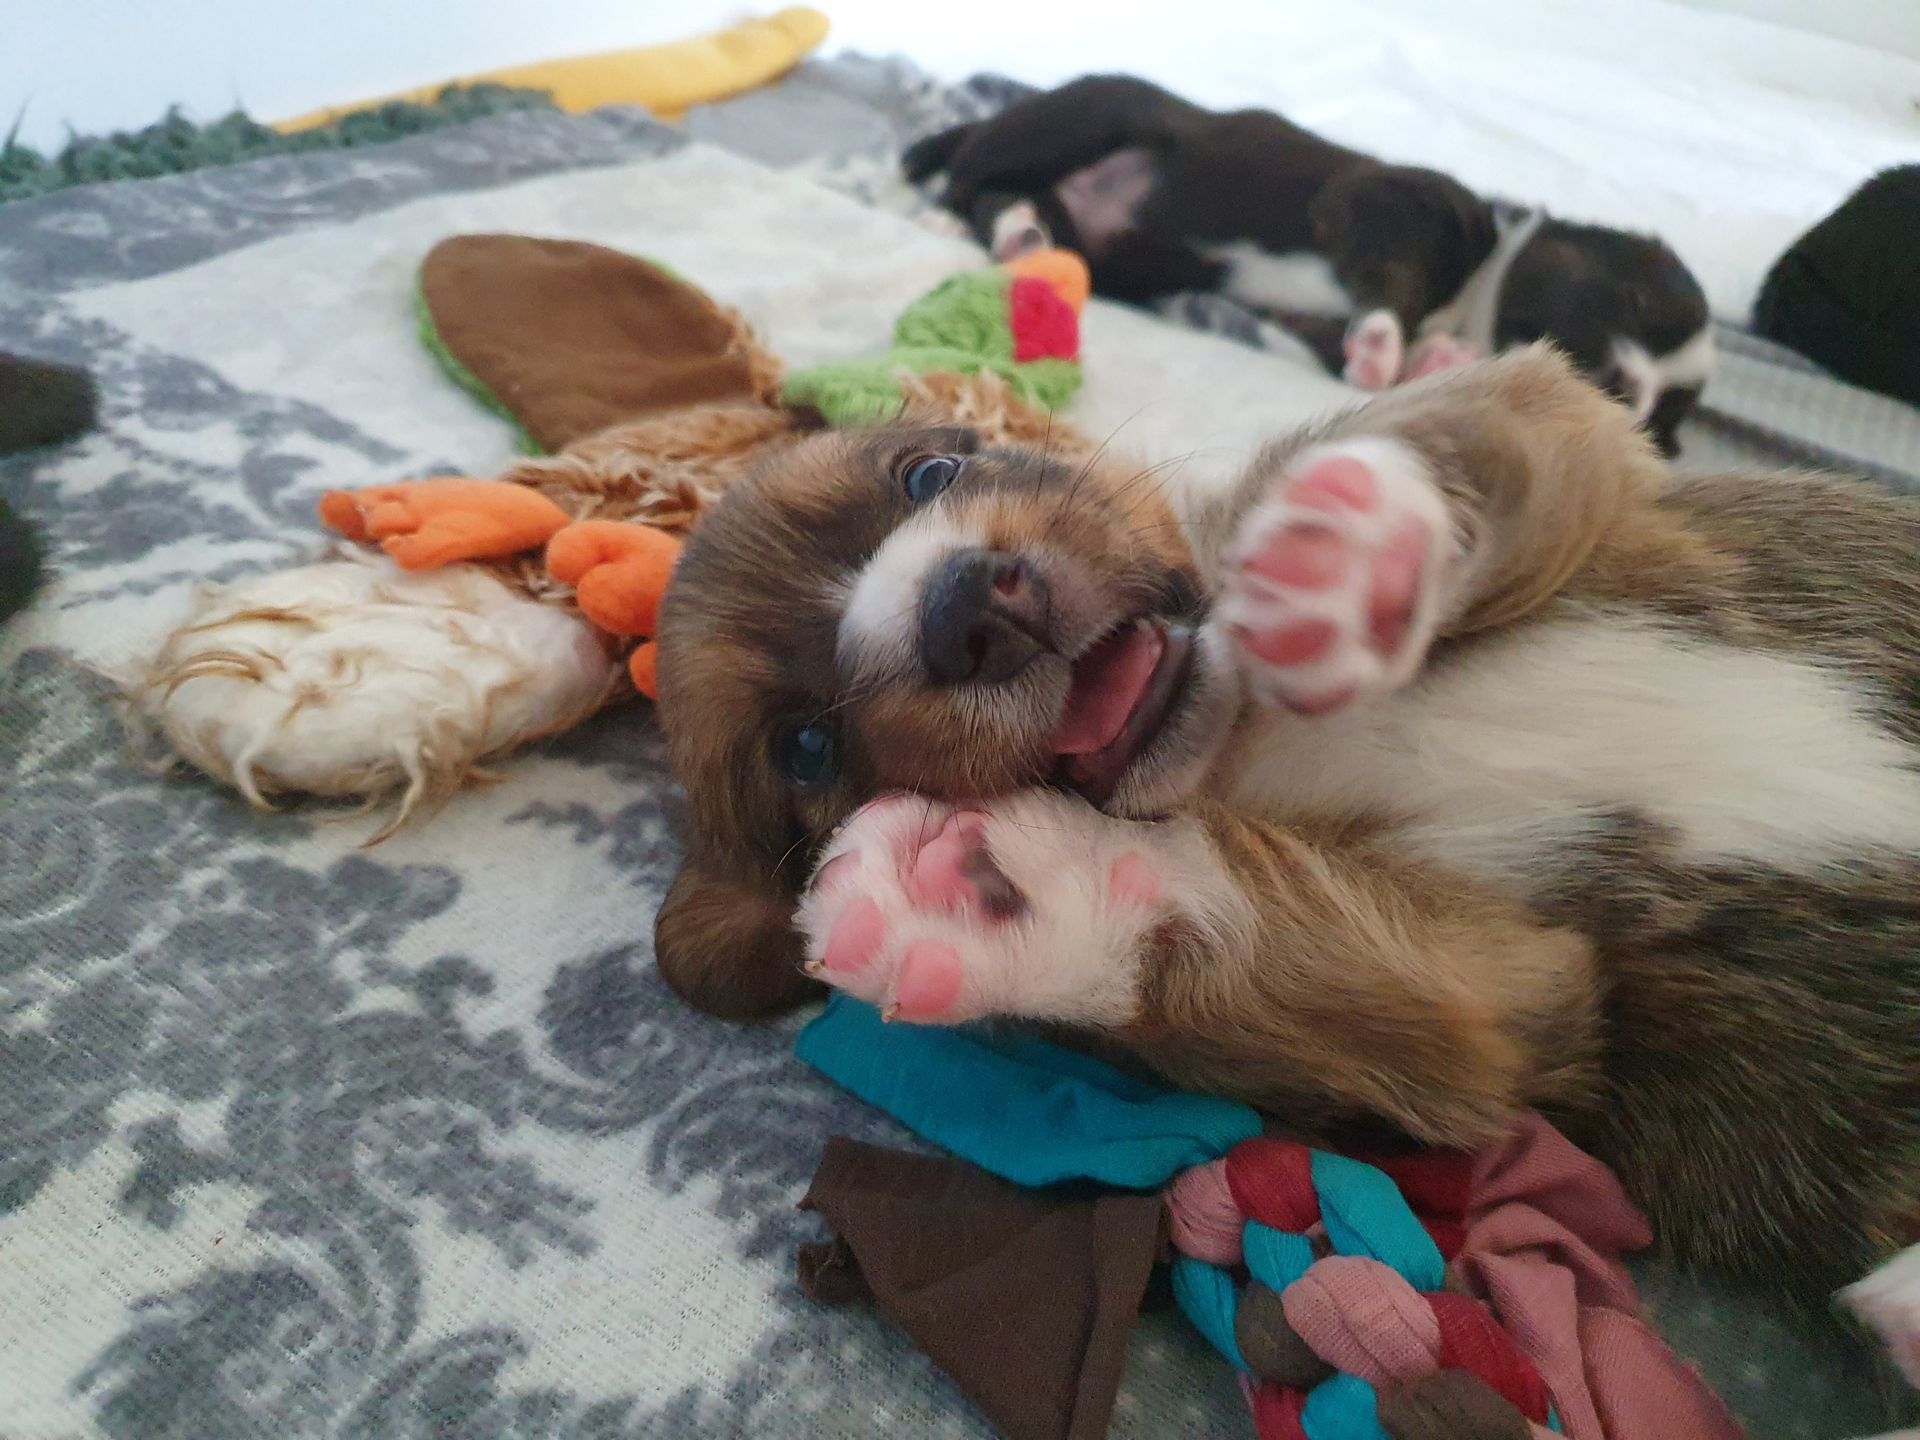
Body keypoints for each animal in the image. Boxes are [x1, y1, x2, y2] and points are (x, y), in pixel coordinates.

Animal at [650, 346, 1920, 1306]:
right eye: (805, 748)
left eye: (926, 472)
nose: (969, 607)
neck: (1243, 738)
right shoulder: (1516, 1003)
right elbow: (1237, 939)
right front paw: (983, 899)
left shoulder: (1579, 447)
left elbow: (1455, 432)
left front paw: (1347, 552)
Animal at [905, 75, 1714, 456]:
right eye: (1638, 300)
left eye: (1660, 414)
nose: (1629, 388)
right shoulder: (1384, 204)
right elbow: (1397, 279)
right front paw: (1392, 341)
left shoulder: (1313, 321)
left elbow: (1375, 345)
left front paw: (1433, 359)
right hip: (1086, 118)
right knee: (970, 164)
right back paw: (944, 207)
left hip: (1107, 244)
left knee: (1012, 196)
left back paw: (1023, 232)